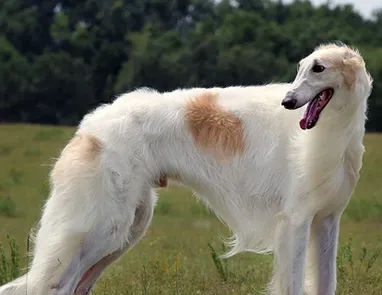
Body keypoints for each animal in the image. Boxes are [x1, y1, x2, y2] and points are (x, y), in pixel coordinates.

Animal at [0, 42, 370, 295]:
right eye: (301, 68)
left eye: (319, 68)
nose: (288, 102)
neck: (332, 130)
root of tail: (88, 127)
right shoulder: (295, 220)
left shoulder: (327, 219)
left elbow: (326, 282)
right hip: (103, 226)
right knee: (58, 284)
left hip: (127, 229)